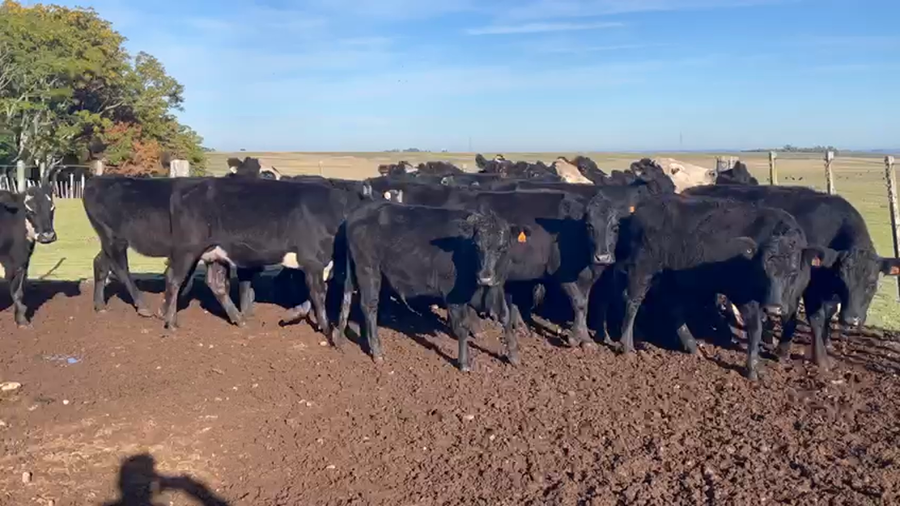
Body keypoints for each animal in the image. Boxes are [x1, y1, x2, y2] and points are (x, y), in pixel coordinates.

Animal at [0, 174, 59, 326]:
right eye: (29, 210)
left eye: (52, 208)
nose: (48, 235)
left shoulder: (22, 262)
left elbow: (18, 292)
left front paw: (22, 320)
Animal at [333, 202, 522, 371]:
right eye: (476, 246)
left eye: (502, 247)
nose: (485, 276)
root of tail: (356, 213)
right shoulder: (454, 295)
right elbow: (462, 327)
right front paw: (464, 363)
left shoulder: (497, 288)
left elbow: (505, 316)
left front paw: (513, 355)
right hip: (368, 270)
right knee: (369, 306)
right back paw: (377, 351)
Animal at [616, 194, 825, 379]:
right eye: (764, 270)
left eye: (793, 272)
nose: (773, 308)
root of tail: (638, 211)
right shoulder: (743, 295)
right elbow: (755, 329)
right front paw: (753, 370)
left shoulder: (792, 298)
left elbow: (790, 322)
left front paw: (781, 354)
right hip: (642, 271)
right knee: (632, 301)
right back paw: (627, 347)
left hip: (671, 280)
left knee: (672, 309)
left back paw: (692, 347)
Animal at [685, 184, 900, 369]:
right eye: (843, 279)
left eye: (872, 283)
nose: (851, 320)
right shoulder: (811, 289)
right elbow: (812, 319)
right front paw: (817, 358)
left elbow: (824, 315)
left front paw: (827, 343)